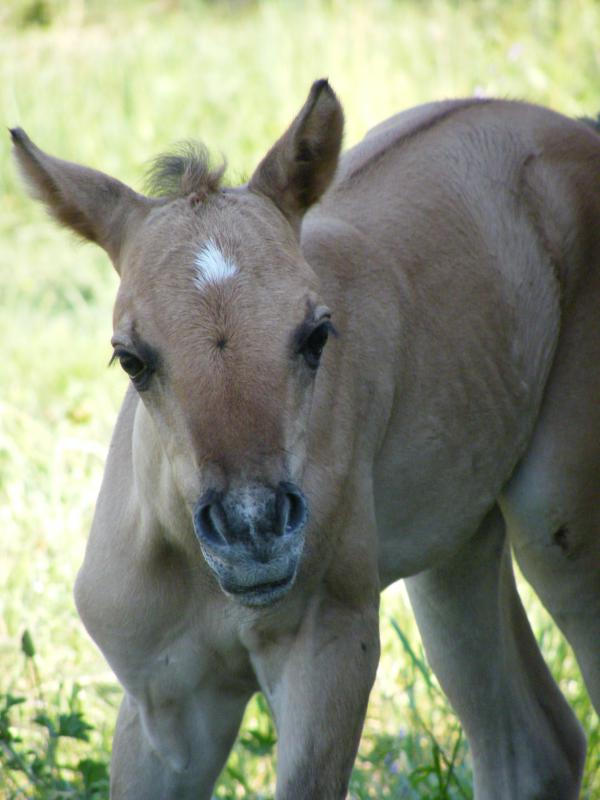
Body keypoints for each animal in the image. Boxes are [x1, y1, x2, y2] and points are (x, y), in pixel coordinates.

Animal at [10, 78, 600, 796]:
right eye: (131, 358)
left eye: (317, 332)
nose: (253, 532)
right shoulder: (165, 706)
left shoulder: (329, 654)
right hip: (455, 542)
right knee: (534, 747)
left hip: (559, 526)